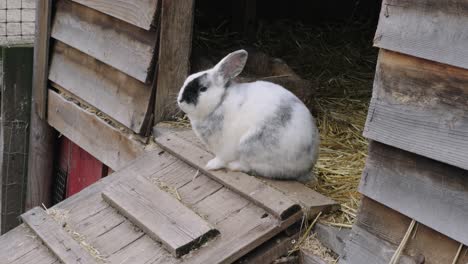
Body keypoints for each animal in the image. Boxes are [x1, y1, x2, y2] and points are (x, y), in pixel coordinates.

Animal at [177, 49, 320, 182]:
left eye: (203, 89)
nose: (180, 100)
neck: (219, 103)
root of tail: (307, 166)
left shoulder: (224, 148)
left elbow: (221, 159)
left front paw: (210, 165)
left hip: (250, 145)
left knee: (252, 167)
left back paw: (233, 166)